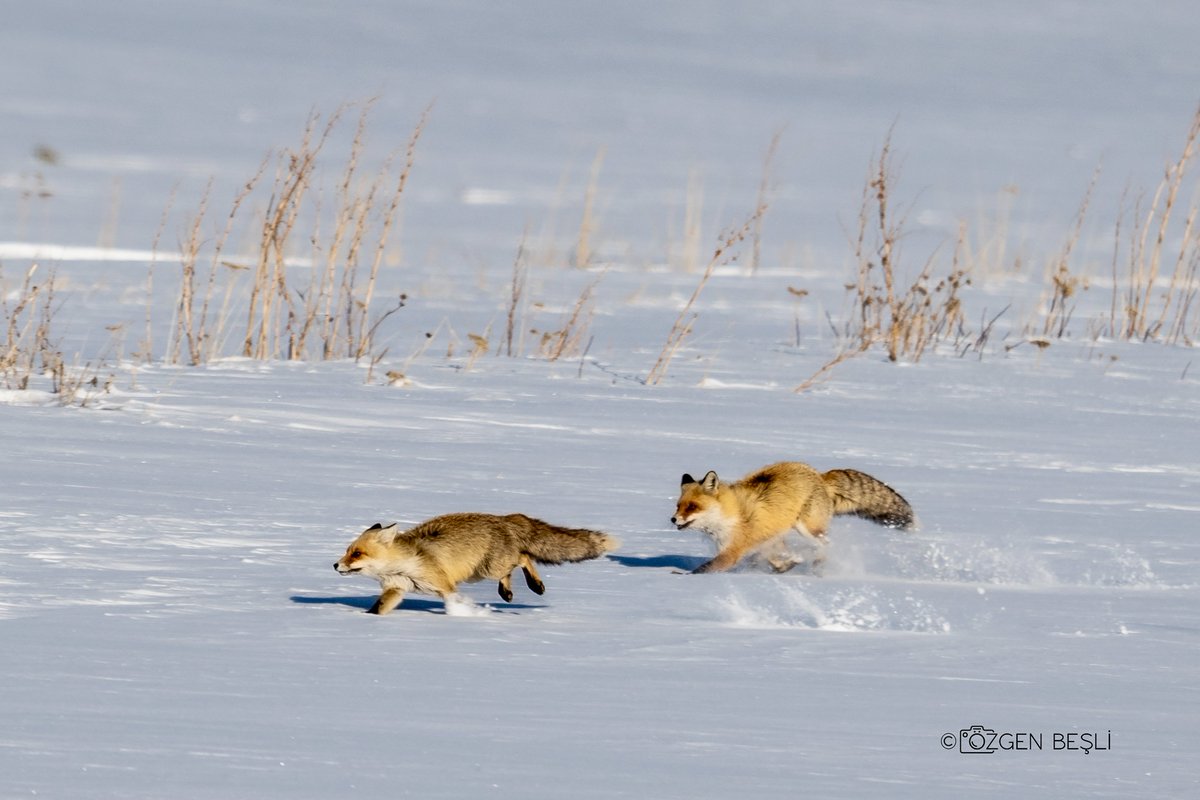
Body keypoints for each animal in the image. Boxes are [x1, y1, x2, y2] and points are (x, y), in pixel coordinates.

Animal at [336, 510, 619, 618]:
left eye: (357, 554)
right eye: (348, 552)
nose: (335, 566)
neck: (403, 565)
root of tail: (506, 518)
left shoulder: (445, 584)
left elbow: (453, 600)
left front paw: (462, 615)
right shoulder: (397, 588)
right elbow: (379, 608)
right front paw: (367, 620)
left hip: (488, 569)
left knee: (522, 557)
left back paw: (533, 585)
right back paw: (509, 592)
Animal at [672, 462, 912, 575]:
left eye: (692, 507)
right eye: (678, 505)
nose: (674, 520)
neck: (730, 516)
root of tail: (819, 475)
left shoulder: (731, 553)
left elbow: (703, 569)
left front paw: (680, 576)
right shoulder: (770, 541)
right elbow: (779, 558)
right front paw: (787, 566)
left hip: (807, 528)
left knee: (826, 544)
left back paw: (817, 567)